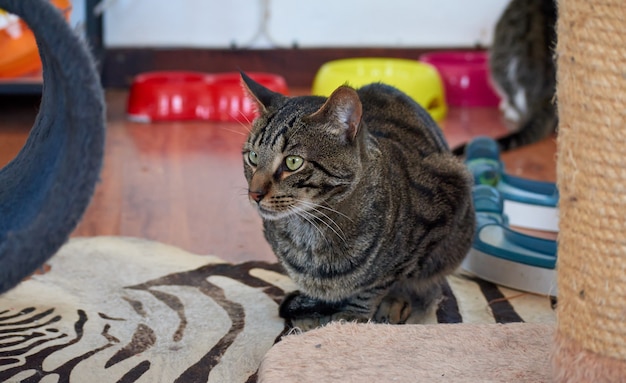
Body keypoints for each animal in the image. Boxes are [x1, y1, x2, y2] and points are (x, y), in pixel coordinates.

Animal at [239, 73, 472, 332]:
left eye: (293, 162)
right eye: (253, 157)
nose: (254, 193)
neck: (310, 231)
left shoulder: (445, 206)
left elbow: (380, 284)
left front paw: (352, 316)